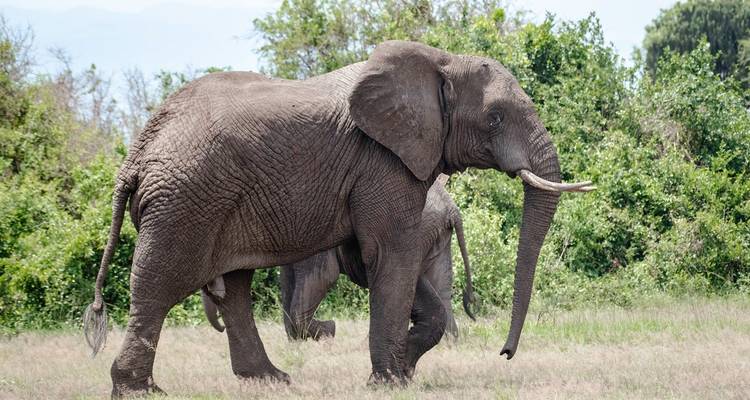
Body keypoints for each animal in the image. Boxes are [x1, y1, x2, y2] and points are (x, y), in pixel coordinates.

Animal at [200, 176, 475, 345]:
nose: (221, 326)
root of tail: (452, 209)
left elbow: (322, 276)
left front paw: (329, 331)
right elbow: (288, 279)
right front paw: (298, 343)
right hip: (436, 237)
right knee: (440, 287)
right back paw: (449, 343)